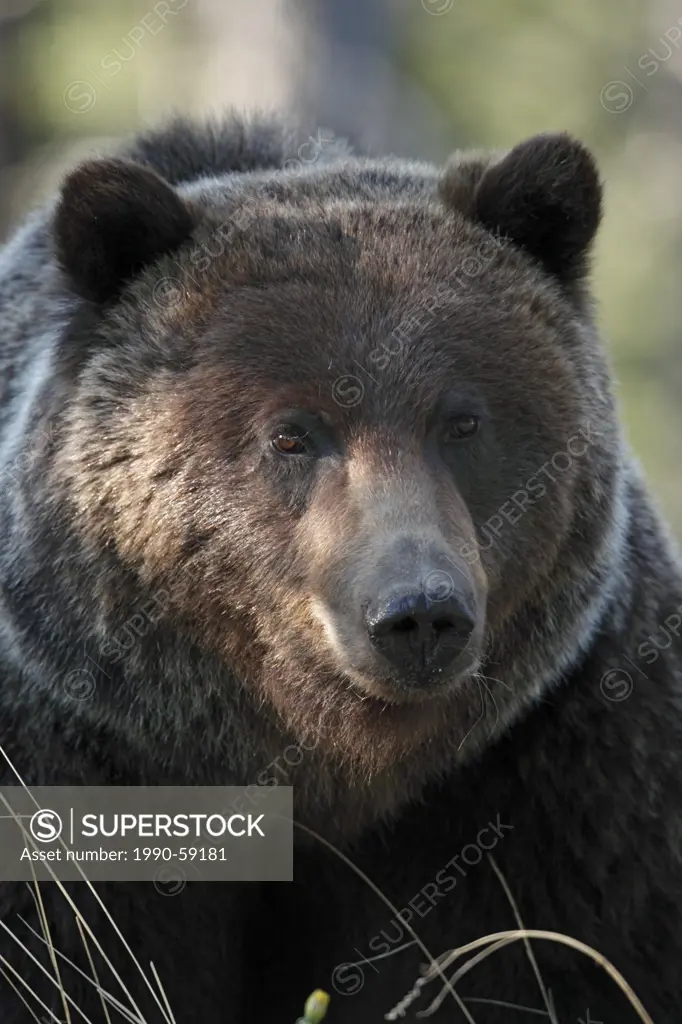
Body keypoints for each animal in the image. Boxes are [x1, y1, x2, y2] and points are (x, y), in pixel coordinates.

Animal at [0, 114, 675, 1024]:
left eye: (462, 421)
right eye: (292, 433)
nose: (419, 611)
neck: (326, 771)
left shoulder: (558, 778)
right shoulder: (76, 762)